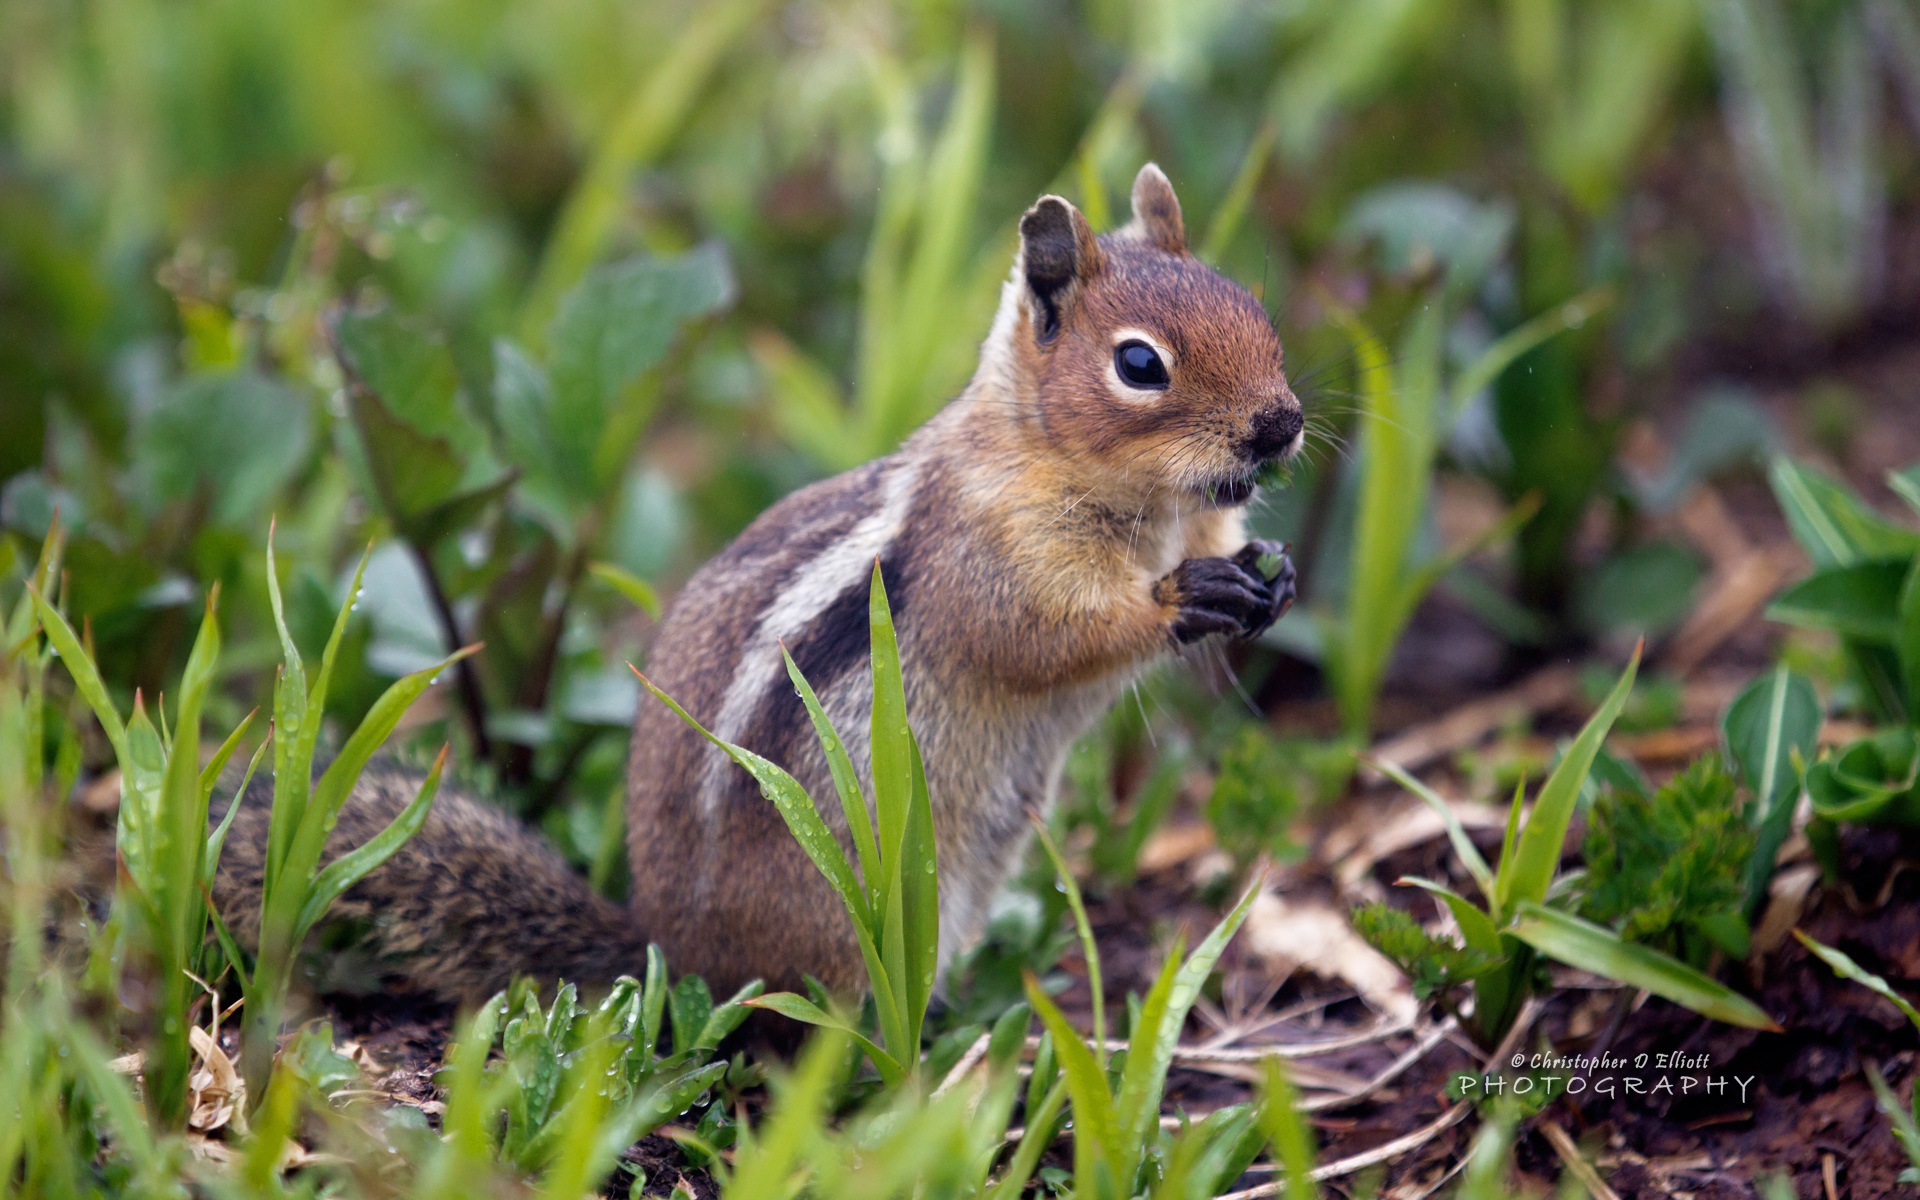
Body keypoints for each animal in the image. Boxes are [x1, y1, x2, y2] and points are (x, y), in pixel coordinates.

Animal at [217, 161, 1313, 998]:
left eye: (1256, 308)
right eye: (1140, 364)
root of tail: (673, 951)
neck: (1138, 502)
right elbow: (1045, 634)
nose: (1282, 424)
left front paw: (1277, 578)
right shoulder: (990, 555)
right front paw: (1186, 599)